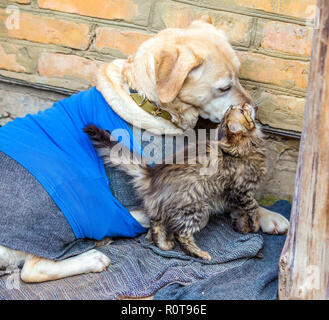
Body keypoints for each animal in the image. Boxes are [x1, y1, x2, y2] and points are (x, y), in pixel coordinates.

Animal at [83, 104, 266, 262]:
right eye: (242, 110)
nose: (246, 104)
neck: (242, 148)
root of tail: (152, 174)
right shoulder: (241, 191)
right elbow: (253, 207)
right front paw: (255, 225)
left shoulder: (232, 196)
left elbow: (241, 212)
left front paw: (243, 227)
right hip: (195, 209)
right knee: (182, 235)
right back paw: (199, 253)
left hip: (165, 210)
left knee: (155, 226)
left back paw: (163, 244)